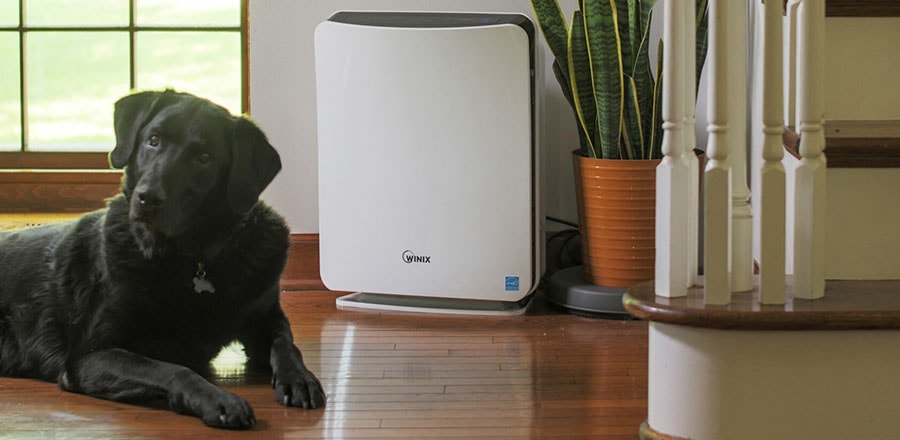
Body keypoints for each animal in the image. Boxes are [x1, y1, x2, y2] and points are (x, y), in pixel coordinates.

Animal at [0, 90, 326, 430]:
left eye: (204, 158)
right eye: (153, 140)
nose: (148, 198)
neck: (192, 258)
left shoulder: (265, 317)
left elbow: (286, 343)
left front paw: (299, 377)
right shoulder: (89, 355)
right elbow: (173, 369)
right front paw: (220, 400)